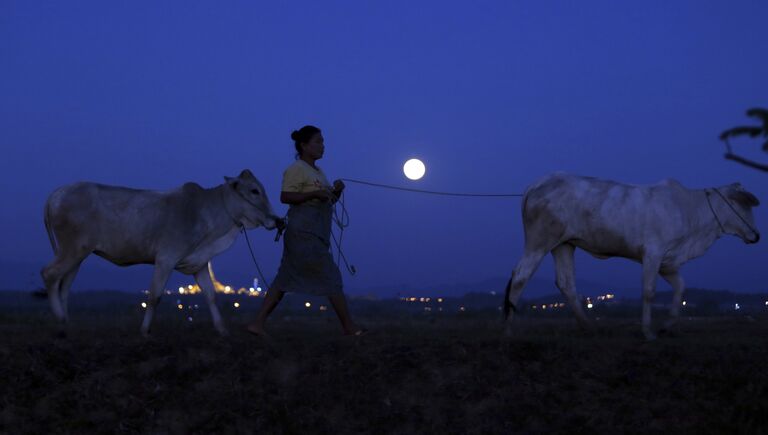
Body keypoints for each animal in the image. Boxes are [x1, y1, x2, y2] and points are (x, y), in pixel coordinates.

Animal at [42, 169, 282, 338]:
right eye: (254, 190)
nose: (276, 219)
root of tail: (57, 193)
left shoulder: (200, 263)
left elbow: (211, 296)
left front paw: (222, 330)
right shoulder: (165, 259)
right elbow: (154, 296)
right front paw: (145, 330)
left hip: (77, 256)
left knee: (64, 287)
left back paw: (65, 324)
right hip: (72, 250)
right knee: (49, 274)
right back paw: (60, 319)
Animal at [504, 174, 760, 340]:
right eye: (745, 205)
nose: (756, 235)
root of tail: (536, 185)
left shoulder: (667, 262)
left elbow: (680, 288)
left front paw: (667, 325)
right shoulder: (653, 253)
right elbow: (648, 292)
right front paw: (648, 332)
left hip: (564, 245)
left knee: (566, 283)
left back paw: (588, 326)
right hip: (539, 242)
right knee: (520, 276)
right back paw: (509, 330)